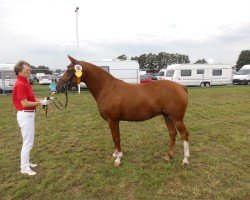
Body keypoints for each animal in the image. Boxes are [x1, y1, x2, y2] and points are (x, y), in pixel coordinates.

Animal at [56, 55, 189, 166]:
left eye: (69, 70)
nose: (58, 87)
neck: (107, 88)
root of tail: (181, 86)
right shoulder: (112, 121)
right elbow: (114, 137)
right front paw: (115, 154)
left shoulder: (113, 120)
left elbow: (116, 138)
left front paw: (118, 159)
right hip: (167, 116)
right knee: (172, 133)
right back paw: (168, 156)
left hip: (177, 118)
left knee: (184, 134)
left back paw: (185, 160)